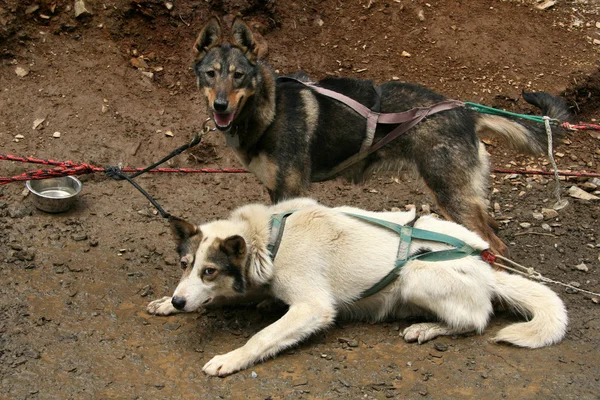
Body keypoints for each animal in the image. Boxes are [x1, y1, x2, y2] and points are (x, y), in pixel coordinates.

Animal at [145, 198, 568, 376]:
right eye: (185, 265)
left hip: (415, 275)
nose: (180, 302)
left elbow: (261, 338)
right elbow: (232, 298)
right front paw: (167, 302)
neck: (270, 237)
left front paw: (231, 358)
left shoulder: (313, 307)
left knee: (476, 318)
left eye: (210, 271)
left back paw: (427, 327)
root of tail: (487, 265)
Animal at [192, 17, 572, 255]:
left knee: (496, 245)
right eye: (211, 74)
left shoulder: (292, 192)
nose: (221, 105)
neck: (269, 111)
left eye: (239, 75)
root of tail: (464, 110)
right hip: (463, 197)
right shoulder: (276, 192)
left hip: (451, 195)